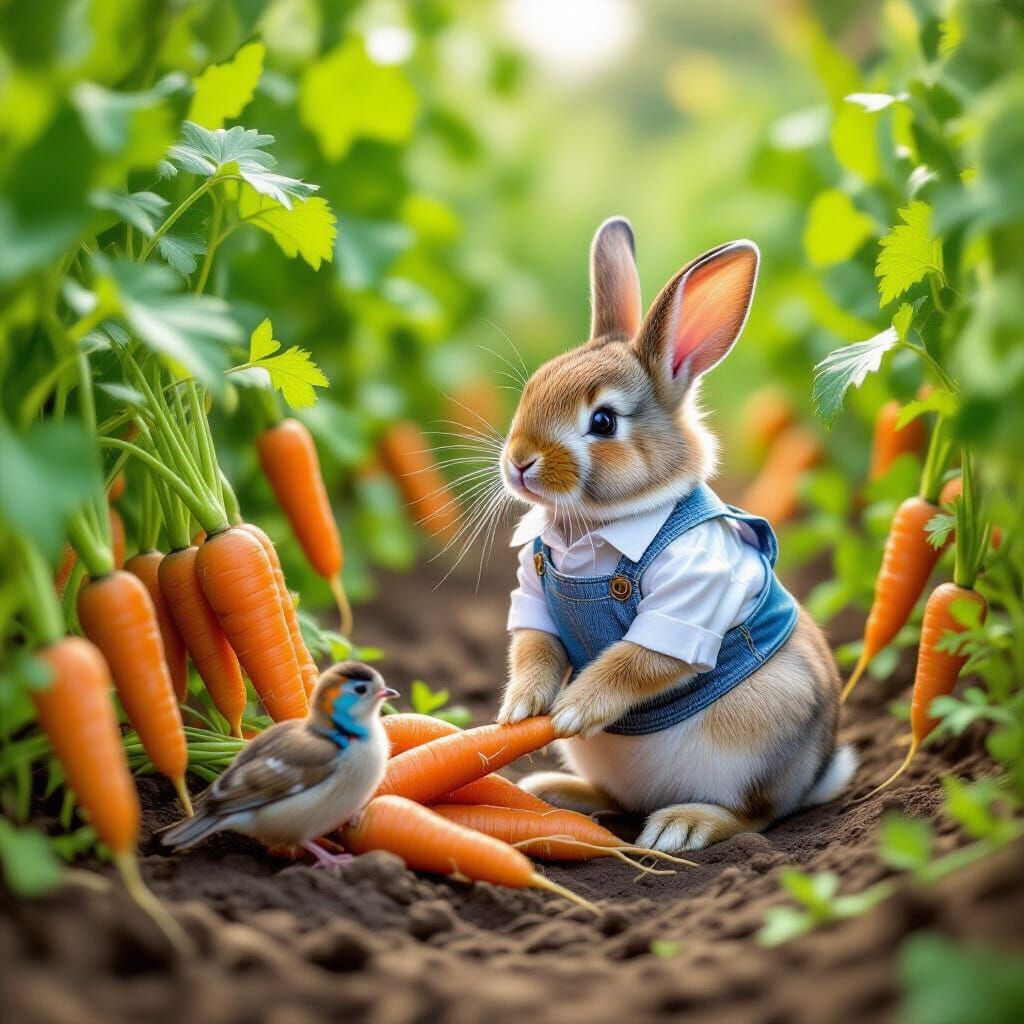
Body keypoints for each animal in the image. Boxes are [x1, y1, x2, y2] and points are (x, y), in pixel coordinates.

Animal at [495, 216, 856, 852]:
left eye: (603, 422)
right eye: (533, 386)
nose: (519, 462)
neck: (595, 530)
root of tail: (816, 774)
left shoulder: (690, 600)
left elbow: (638, 660)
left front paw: (570, 712)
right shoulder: (534, 593)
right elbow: (534, 645)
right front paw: (521, 711)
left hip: (761, 736)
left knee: (754, 816)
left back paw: (680, 828)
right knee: (619, 800)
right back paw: (555, 793)